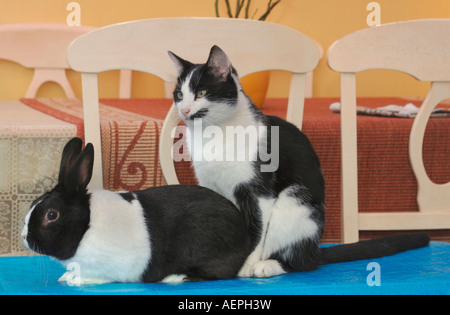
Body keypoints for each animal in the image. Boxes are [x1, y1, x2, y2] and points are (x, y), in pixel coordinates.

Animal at [22, 138, 250, 286]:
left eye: (52, 215)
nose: (24, 237)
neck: (86, 226)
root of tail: (245, 239)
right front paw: (65, 277)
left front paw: (75, 280)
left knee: (218, 273)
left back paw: (175, 278)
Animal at [168, 45, 428, 278]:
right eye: (179, 95)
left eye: (201, 93)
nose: (185, 110)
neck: (214, 134)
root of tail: (315, 249)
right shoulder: (210, 186)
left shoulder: (259, 192)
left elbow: (257, 231)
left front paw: (245, 264)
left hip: (295, 203)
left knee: (301, 262)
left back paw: (269, 266)